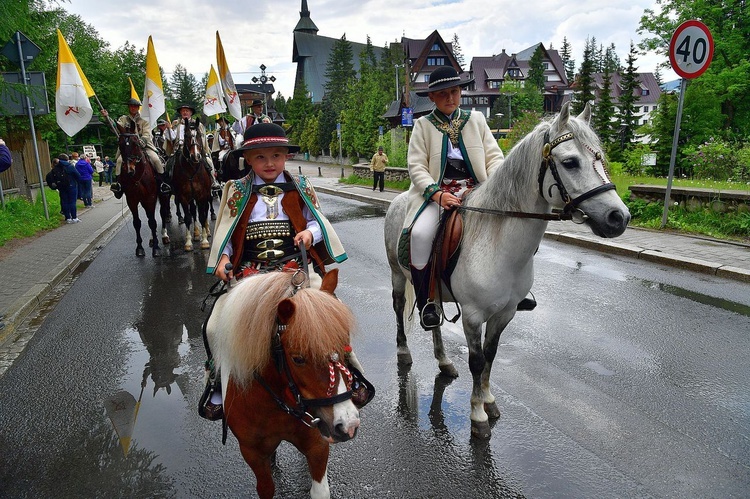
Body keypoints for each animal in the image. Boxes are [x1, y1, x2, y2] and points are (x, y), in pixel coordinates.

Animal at [115, 123, 171, 258]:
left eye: (136, 143)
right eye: (120, 144)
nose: (129, 170)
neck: (137, 177)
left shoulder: (150, 198)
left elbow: (152, 222)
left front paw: (156, 248)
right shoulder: (132, 200)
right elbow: (137, 223)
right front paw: (140, 248)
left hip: (163, 196)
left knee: (162, 214)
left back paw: (164, 236)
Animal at [173, 118, 213, 254]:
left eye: (199, 135)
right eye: (186, 136)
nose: (195, 156)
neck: (191, 170)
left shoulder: (201, 195)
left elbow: (202, 215)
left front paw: (205, 241)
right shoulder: (184, 197)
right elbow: (188, 217)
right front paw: (188, 242)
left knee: (204, 210)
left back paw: (207, 231)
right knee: (193, 211)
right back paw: (196, 234)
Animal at [384, 103, 632, 440]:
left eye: (600, 158)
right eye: (570, 162)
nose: (619, 217)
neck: (497, 241)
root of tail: (399, 199)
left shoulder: (505, 313)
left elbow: (491, 355)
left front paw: (488, 401)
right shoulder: (473, 315)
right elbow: (477, 361)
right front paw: (477, 416)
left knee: (433, 318)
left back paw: (444, 361)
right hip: (398, 275)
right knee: (399, 309)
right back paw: (403, 352)